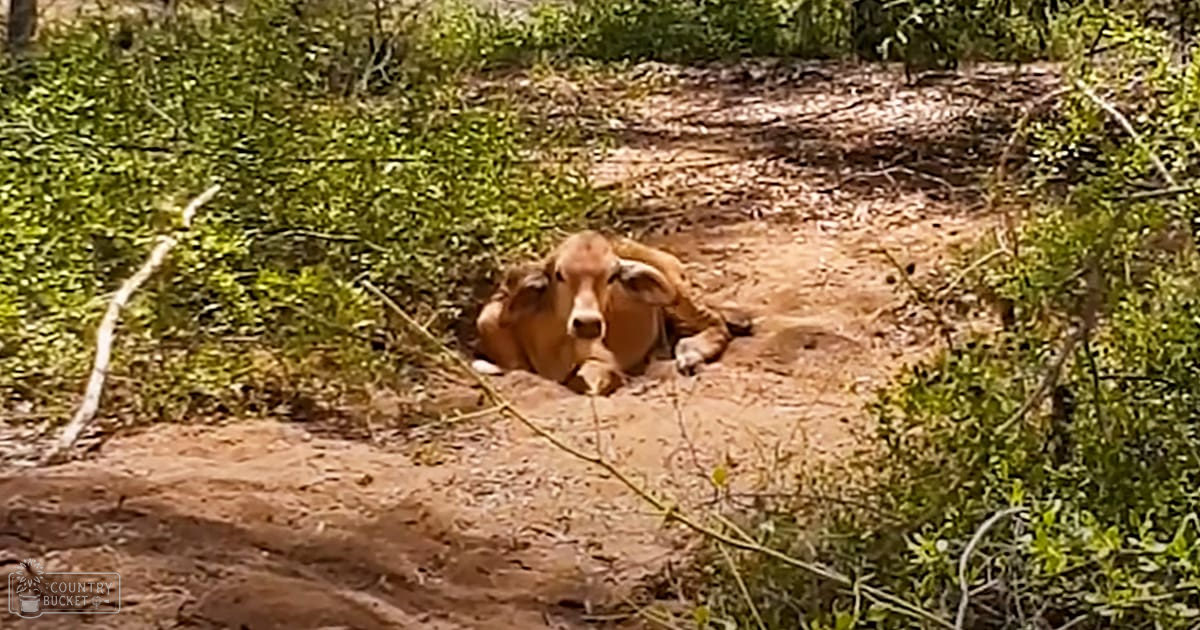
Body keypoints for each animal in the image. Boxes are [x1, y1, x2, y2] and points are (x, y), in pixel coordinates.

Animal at [472, 231, 748, 395]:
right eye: (559, 274)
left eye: (612, 276)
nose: (587, 324)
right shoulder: (489, 323)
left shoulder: (603, 360)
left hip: (678, 296)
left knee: (717, 324)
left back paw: (689, 353)